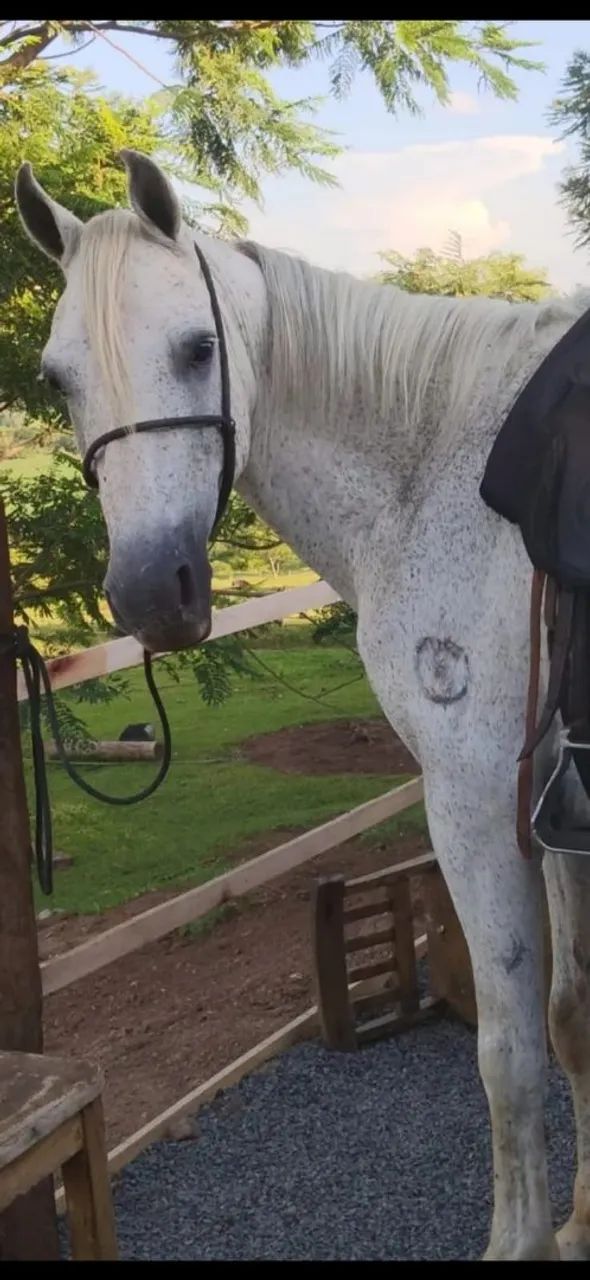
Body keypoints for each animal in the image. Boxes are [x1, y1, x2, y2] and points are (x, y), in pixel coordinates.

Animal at [14, 149, 590, 1261]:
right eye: (56, 378)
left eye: (197, 348)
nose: (152, 594)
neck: (433, 474)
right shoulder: (555, 805)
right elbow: (570, 1020)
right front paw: (580, 1220)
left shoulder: (473, 801)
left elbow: (507, 1053)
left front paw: (523, 1238)